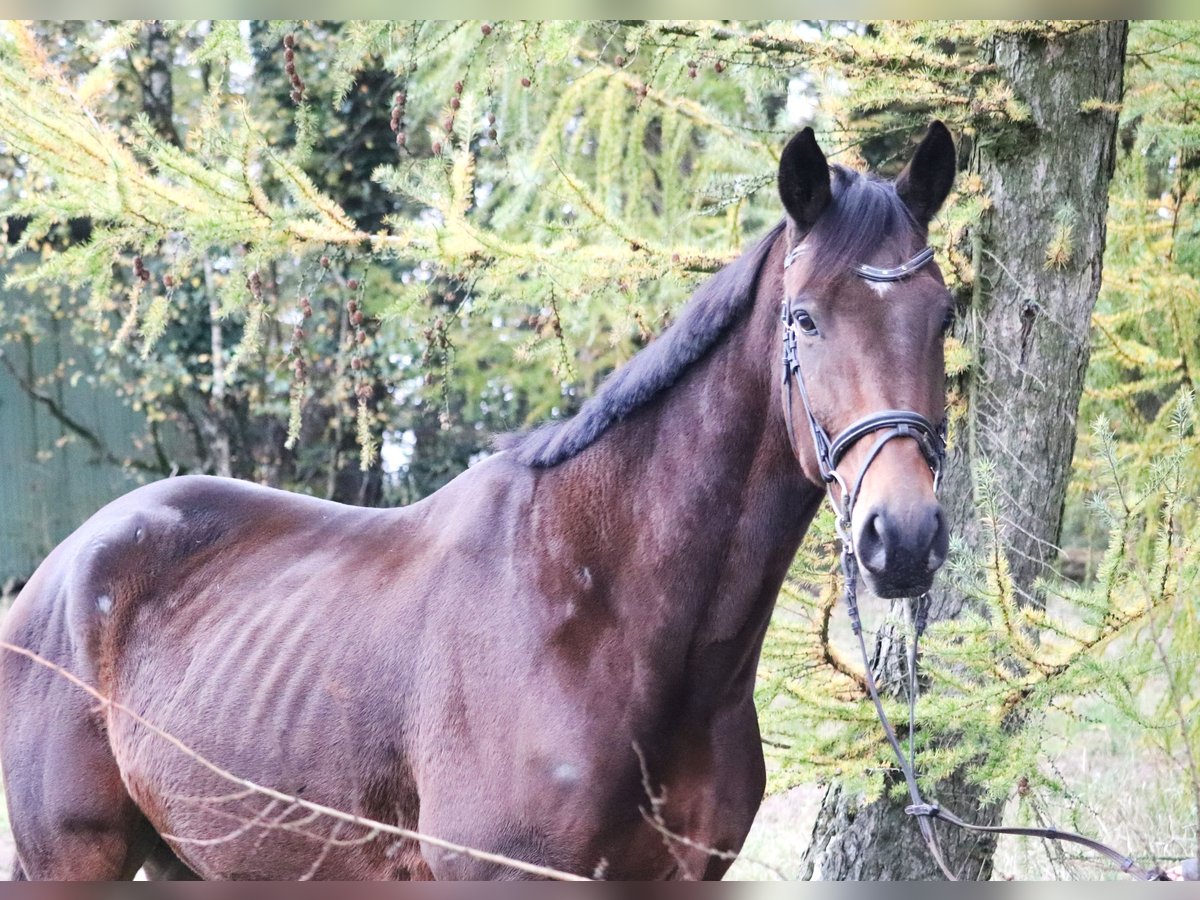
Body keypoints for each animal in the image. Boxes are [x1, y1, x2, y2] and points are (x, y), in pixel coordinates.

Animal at [0, 120, 955, 883]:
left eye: (944, 317)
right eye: (804, 319)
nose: (903, 536)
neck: (606, 614)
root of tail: (58, 572)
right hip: (75, 859)